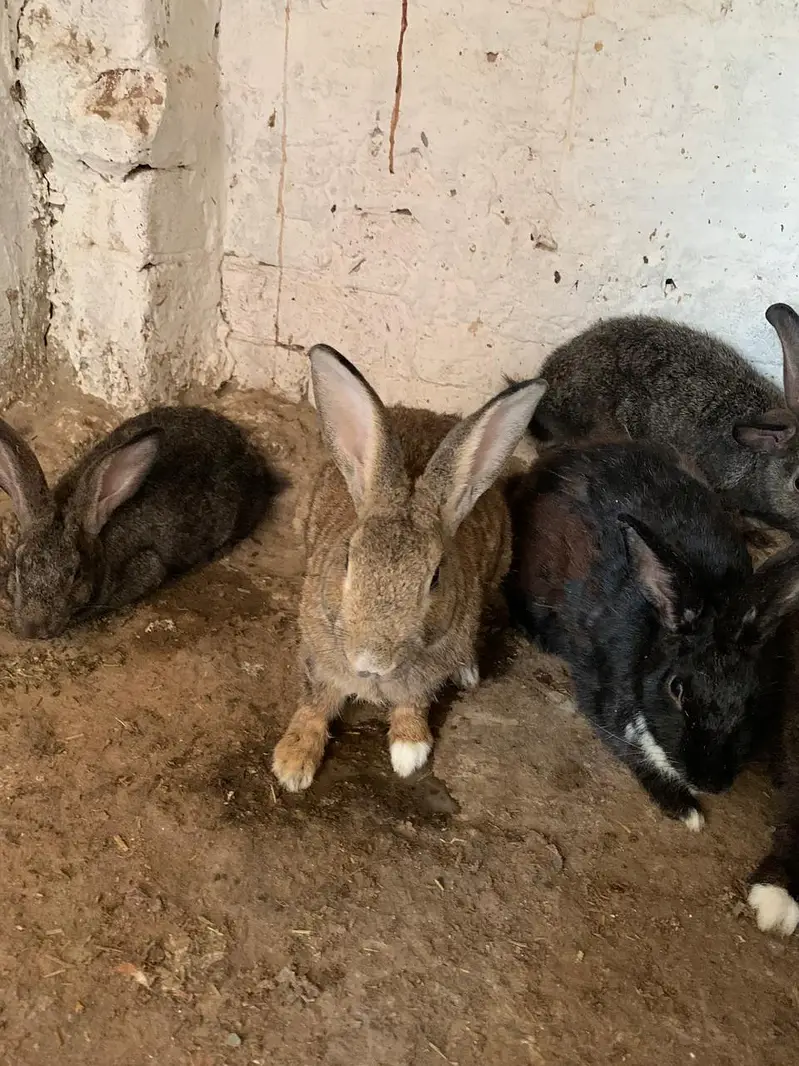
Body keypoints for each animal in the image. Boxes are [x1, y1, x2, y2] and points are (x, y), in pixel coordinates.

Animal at [272, 344, 547, 791]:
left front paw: (409, 751)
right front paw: (292, 764)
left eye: (435, 578)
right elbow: (314, 705)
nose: (371, 660)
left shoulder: (425, 675)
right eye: (347, 559)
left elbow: (412, 706)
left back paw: (467, 671)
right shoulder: (318, 659)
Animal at [505, 440, 799, 828]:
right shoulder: (602, 701)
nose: (710, 782)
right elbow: (633, 753)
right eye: (676, 688)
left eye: (753, 696)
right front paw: (686, 811)